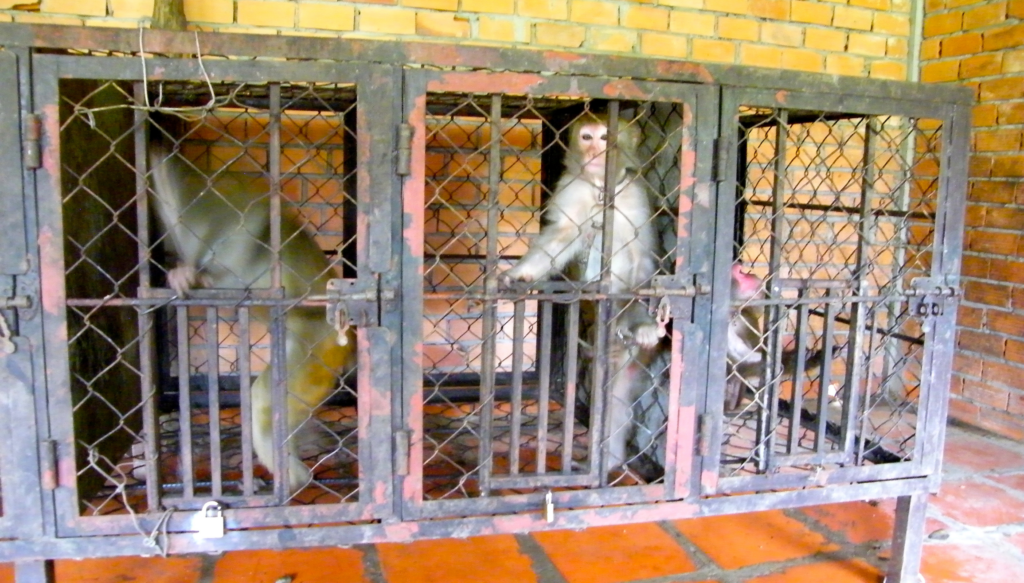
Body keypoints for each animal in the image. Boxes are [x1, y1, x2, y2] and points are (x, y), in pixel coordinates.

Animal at [505, 112, 663, 473]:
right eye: (587, 137)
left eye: (605, 137)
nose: (593, 153)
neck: (600, 192)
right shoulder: (571, 188)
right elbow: (563, 235)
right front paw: (521, 273)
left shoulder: (633, 194)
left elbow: (640, 258)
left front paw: (644, 322)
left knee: (616, 395)